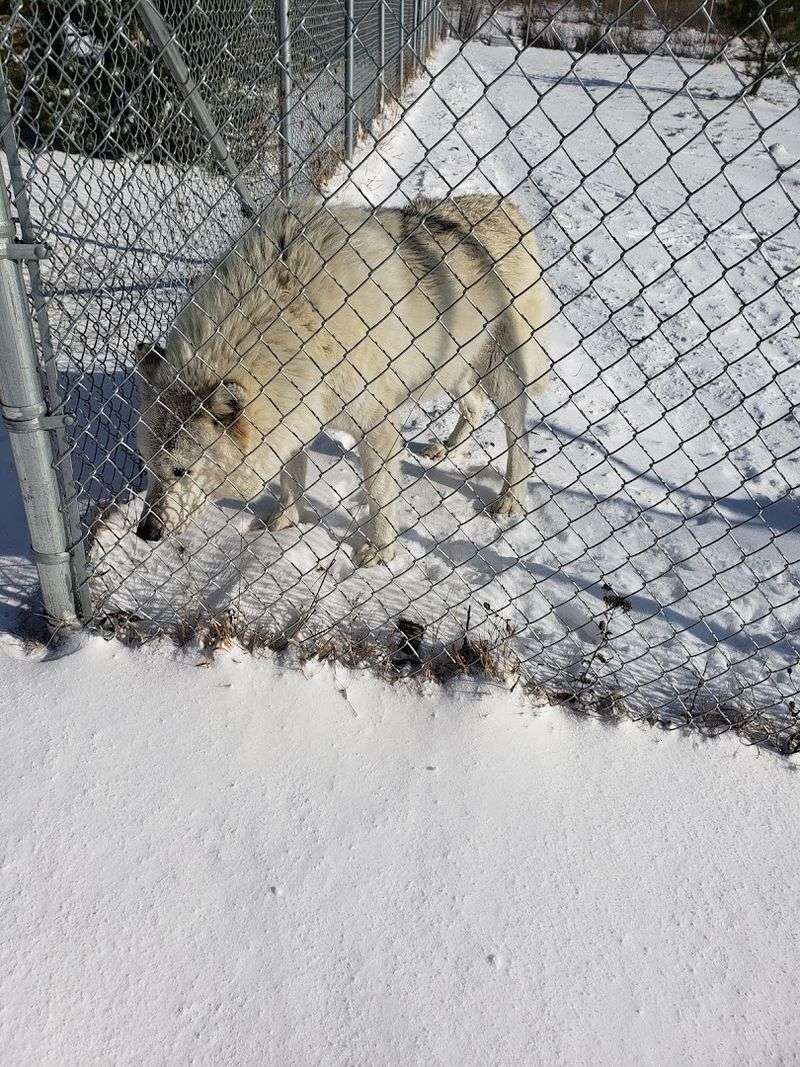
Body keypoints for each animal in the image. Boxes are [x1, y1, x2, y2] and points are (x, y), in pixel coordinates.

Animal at [135, 193, 552, 566]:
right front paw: (282, 525)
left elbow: (379, 496)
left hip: (500, 373)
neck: (295, 323)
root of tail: (508, 207)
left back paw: (510, 498)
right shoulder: (298, 412)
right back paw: (446, 449)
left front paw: (380, 554)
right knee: (474, 405)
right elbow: (291, 481)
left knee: (519, 436)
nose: (145, 532)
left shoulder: (376, 426)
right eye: (149, 465)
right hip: (452, 368)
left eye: (181, 470)